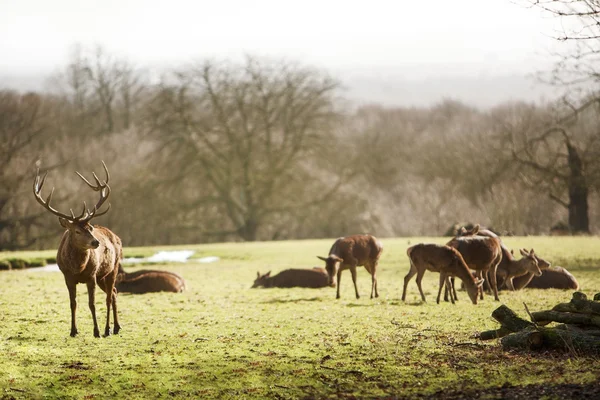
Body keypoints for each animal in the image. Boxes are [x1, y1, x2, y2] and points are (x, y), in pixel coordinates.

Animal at [33, 162, 122, 338]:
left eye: (90, 227)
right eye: (77, 231)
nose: (95, 242)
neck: (77, 268)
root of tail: (117, 237)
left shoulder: (91, 275)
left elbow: (92, 304)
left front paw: (96, 331)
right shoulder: (67, 277)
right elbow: (72, 303)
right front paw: (73, 331)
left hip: (112, 268)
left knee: (109, 297)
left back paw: (107, 329)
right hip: (102, 276)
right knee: (114, 292)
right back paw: (116, 327)